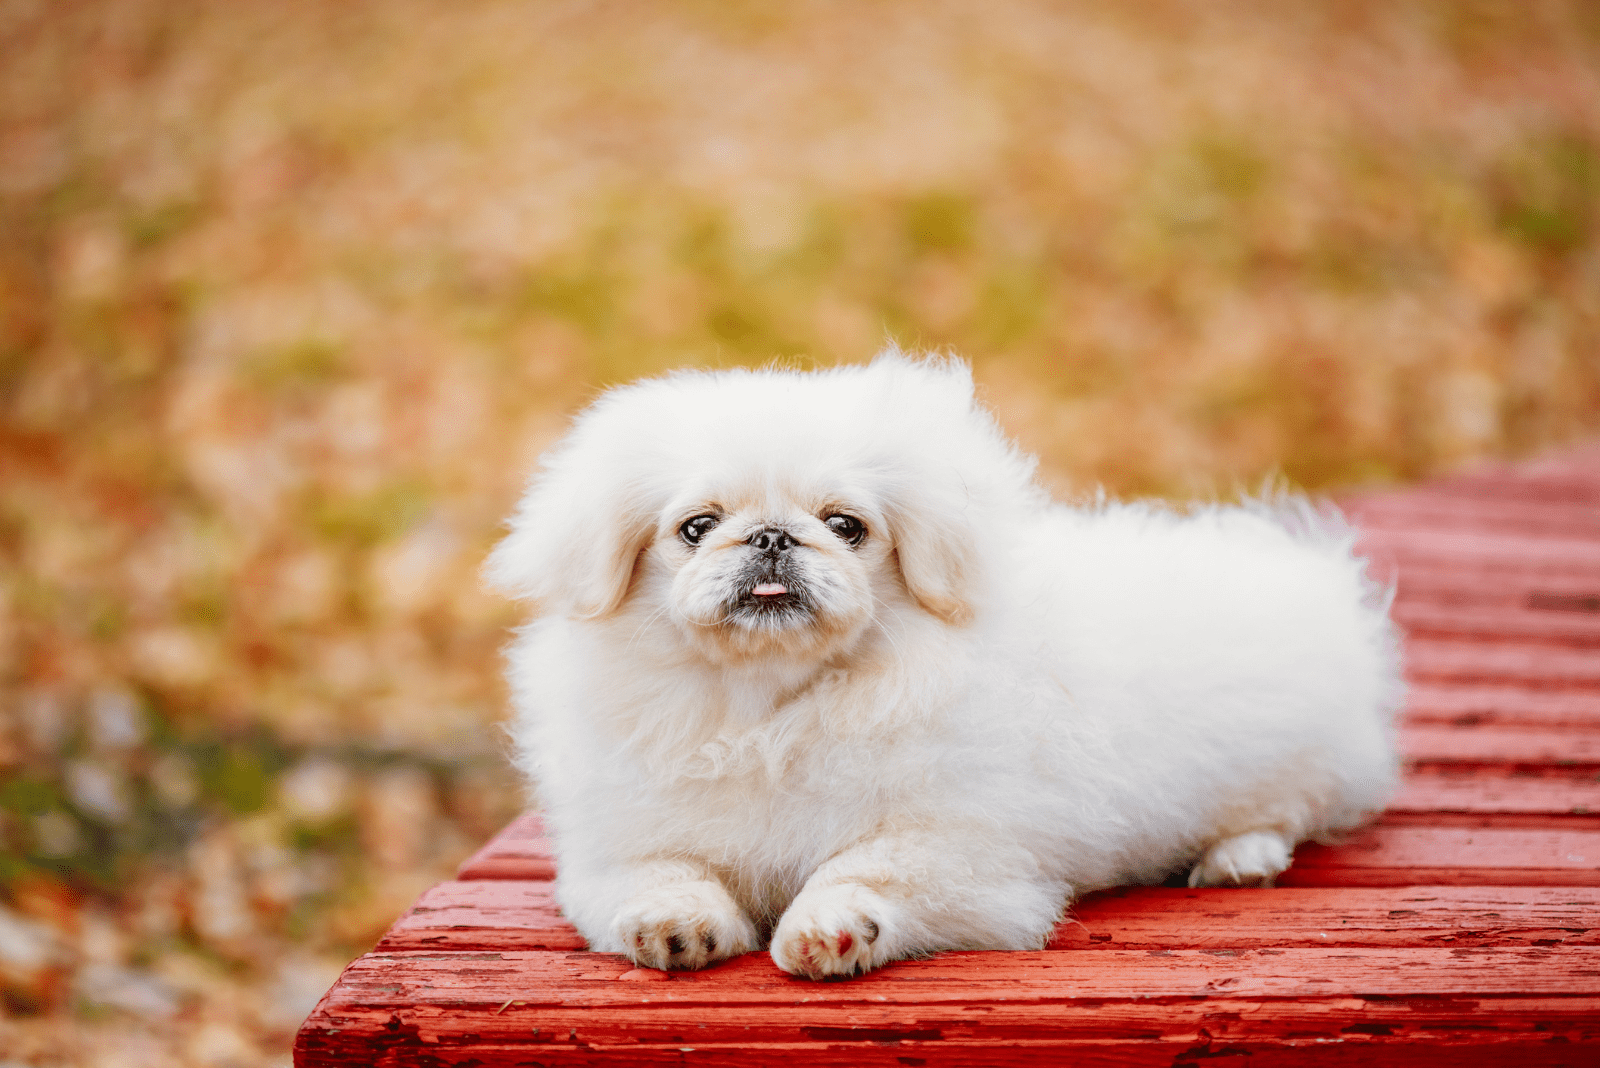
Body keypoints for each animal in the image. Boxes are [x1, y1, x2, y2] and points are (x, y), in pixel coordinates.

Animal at [486, 350, 1401, 978]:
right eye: (696, 527)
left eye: (846, 526)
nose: (773, 536)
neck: (771, 708)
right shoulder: (617, 848)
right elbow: (660, 875)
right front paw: (672, 925)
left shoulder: (966, 857)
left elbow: (864, 868)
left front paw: (830, 930)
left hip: (1289, 759)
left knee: (1292, 807)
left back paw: (1240, 859)